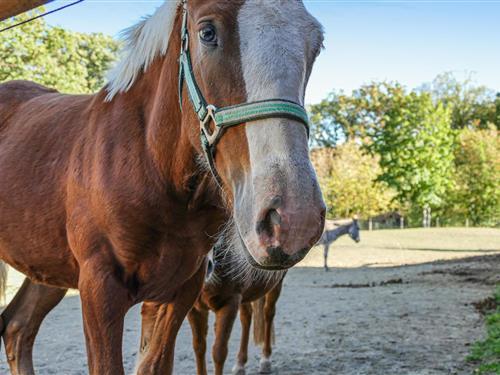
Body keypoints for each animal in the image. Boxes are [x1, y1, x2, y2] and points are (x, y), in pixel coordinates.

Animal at [0, 1, 324, 374]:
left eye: (315, 44)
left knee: (17, 327)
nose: (294, 219)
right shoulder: (99, 289)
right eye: (207, 32)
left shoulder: (177, 294)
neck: (148, 161)